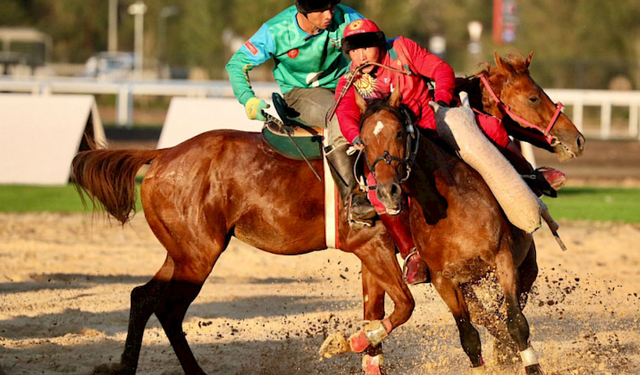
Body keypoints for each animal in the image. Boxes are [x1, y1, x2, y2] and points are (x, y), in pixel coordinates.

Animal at [358, 89, 544, 375]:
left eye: (399, 133)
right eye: (364, 142)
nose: (387, 192)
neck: (446, 208)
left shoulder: (503, 260)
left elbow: (516, 322)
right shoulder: (444, 281)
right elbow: (469, 337)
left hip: (527, 267)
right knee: (489, 317)